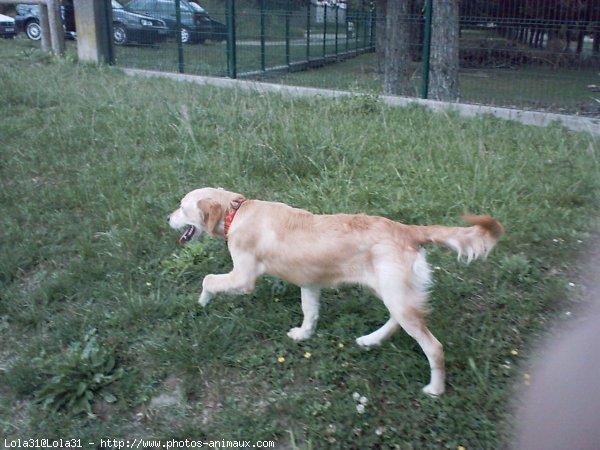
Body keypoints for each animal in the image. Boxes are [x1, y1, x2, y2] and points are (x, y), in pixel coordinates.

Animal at [166, 188, 504, 396]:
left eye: (182, 208)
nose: (167, 218)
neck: (236, 211)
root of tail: (407, 230)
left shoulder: (243, 277)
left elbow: (208, 279)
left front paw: (203, 300)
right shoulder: (309, 280)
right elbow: (310, 311)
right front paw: (304, 334)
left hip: (396, 295)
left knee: (433, 347)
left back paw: (435, 389)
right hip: (394, 292)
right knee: (398, 321)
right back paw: (371, 340)